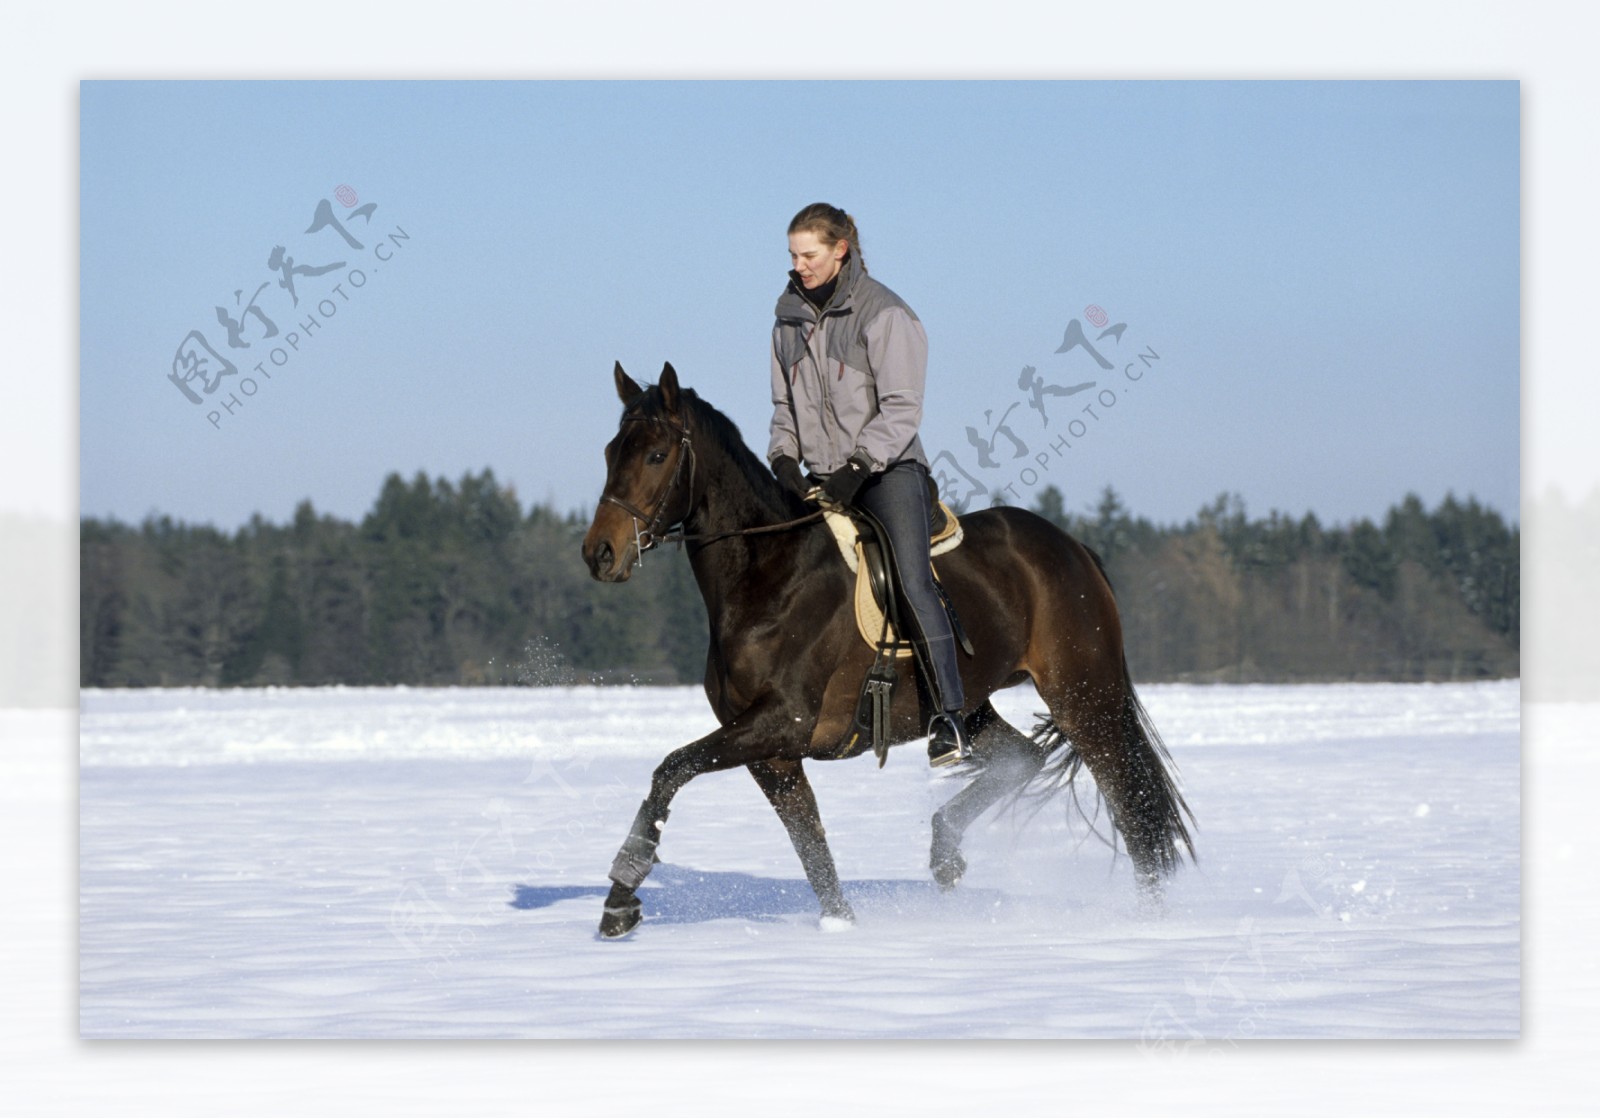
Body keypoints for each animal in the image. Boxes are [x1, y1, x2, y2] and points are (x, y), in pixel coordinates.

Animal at [582, 364, 1196, 934]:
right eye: (611, 451)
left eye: (657, 454)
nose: (600, 554)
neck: (768, 574)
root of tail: (1073, 549)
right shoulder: (770, 754)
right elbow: (811, 848)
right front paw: (840, 926)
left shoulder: (783, 722)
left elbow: (671, 768)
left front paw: (622, 893)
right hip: (973, 706)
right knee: (1024, 758)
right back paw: (945, 855)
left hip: (1084, 698)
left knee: (1131, 804)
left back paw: (1148, 920)